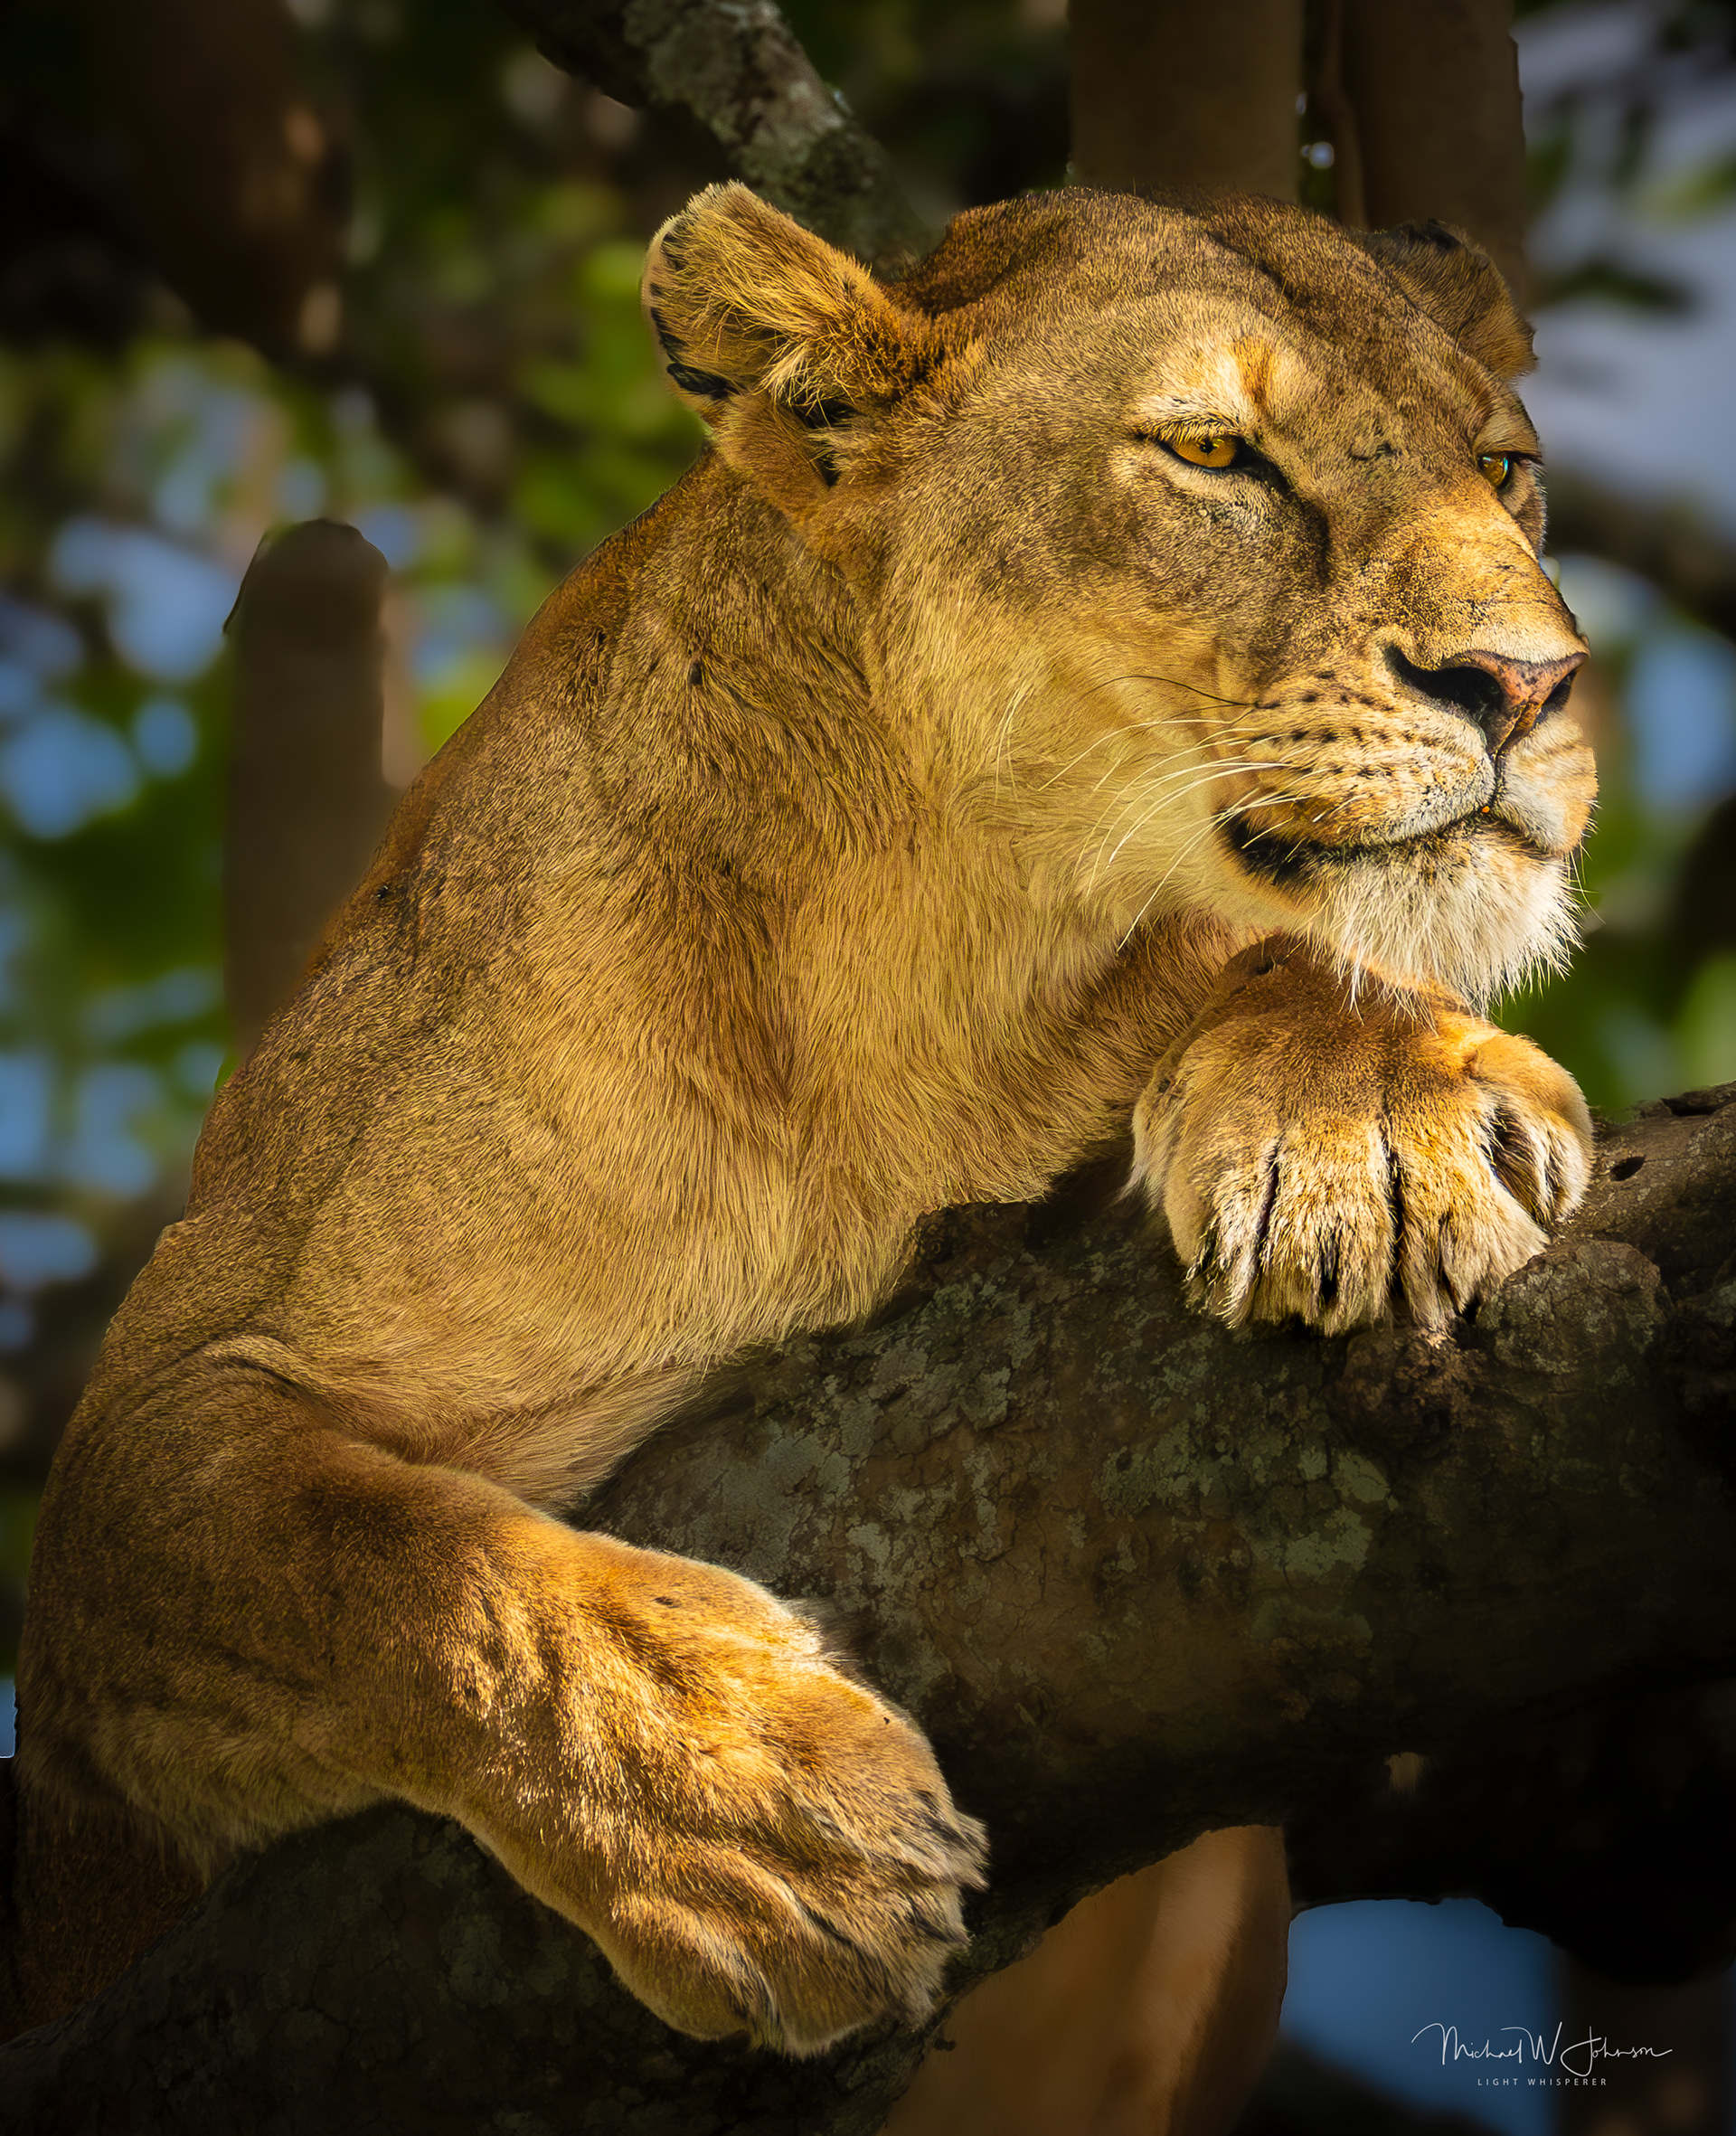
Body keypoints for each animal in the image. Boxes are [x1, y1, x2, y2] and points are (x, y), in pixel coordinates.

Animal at [8, 183, 1594, 2130]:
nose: (1528, 683)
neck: (933, 976)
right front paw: (754, 1812)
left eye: (1504, 470)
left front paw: (1375, 1106)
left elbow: (1310, 949)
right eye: (1216, 453)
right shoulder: (141, 1472)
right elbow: (404, 1563)